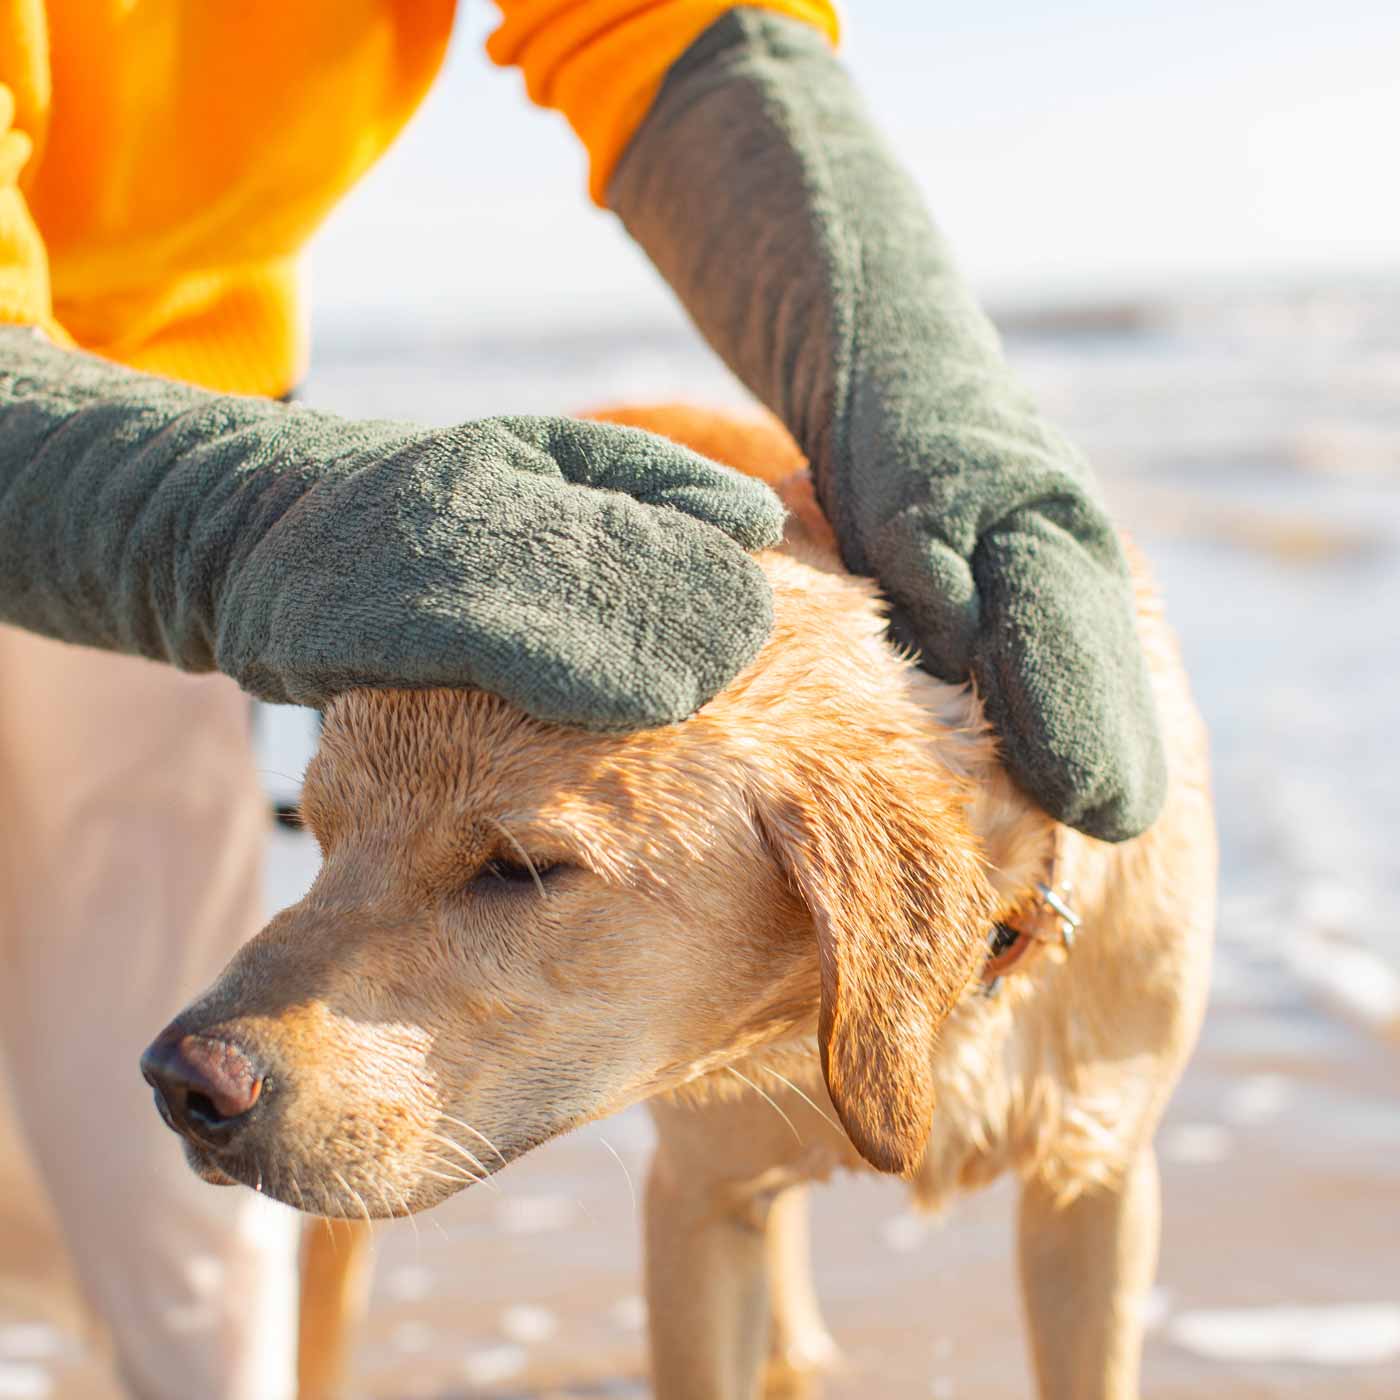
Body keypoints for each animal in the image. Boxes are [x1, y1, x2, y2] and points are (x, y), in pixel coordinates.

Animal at [139, 406, 1215, 1400]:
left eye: (519, 867)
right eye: (324, 833)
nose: (182, 1081)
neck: (933, 1021)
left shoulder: (1097, 1184)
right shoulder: (697, 1203)